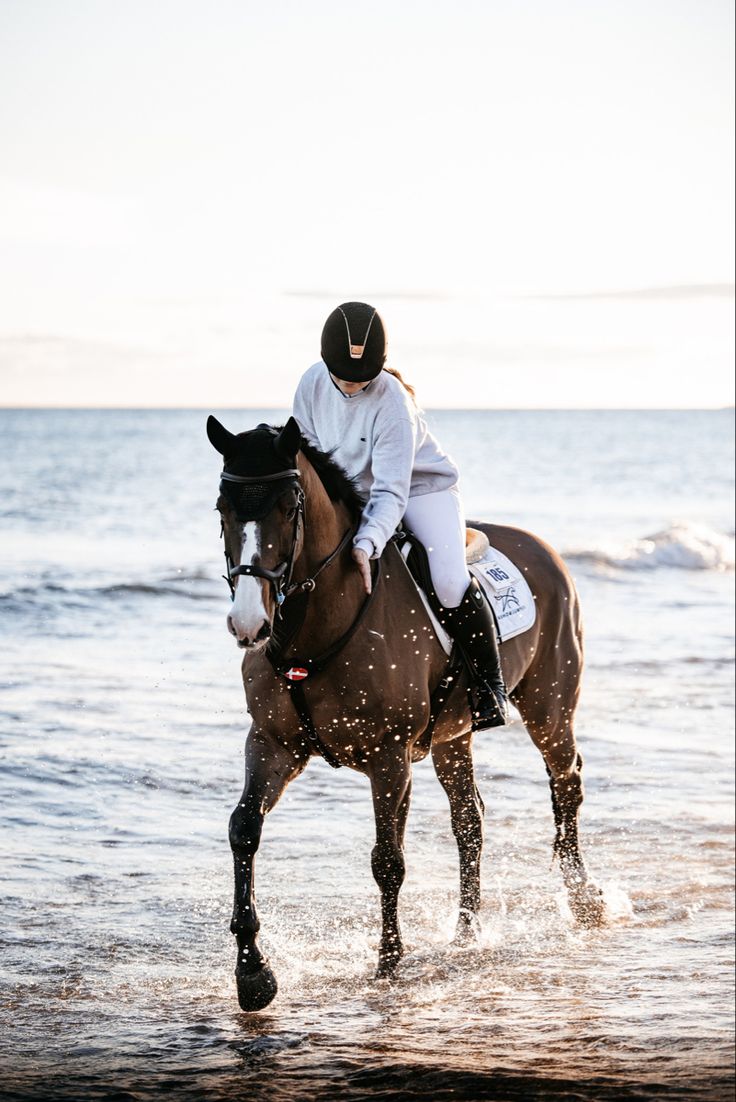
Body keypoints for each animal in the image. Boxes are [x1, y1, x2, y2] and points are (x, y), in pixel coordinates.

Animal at [203, 416, 599, 1009]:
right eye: (222, 507)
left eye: (290, 508)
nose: (249, 623)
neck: (313, 629)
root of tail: (544, 548)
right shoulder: (273, 745)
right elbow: (244, 829)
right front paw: (252, 974)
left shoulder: (389, 759)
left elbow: (387, 858)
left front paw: (389, 962)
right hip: (454, 736)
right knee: (470, 820)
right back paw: (466, 933)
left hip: (549, 707)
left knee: (565, 784)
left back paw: (584, 900)